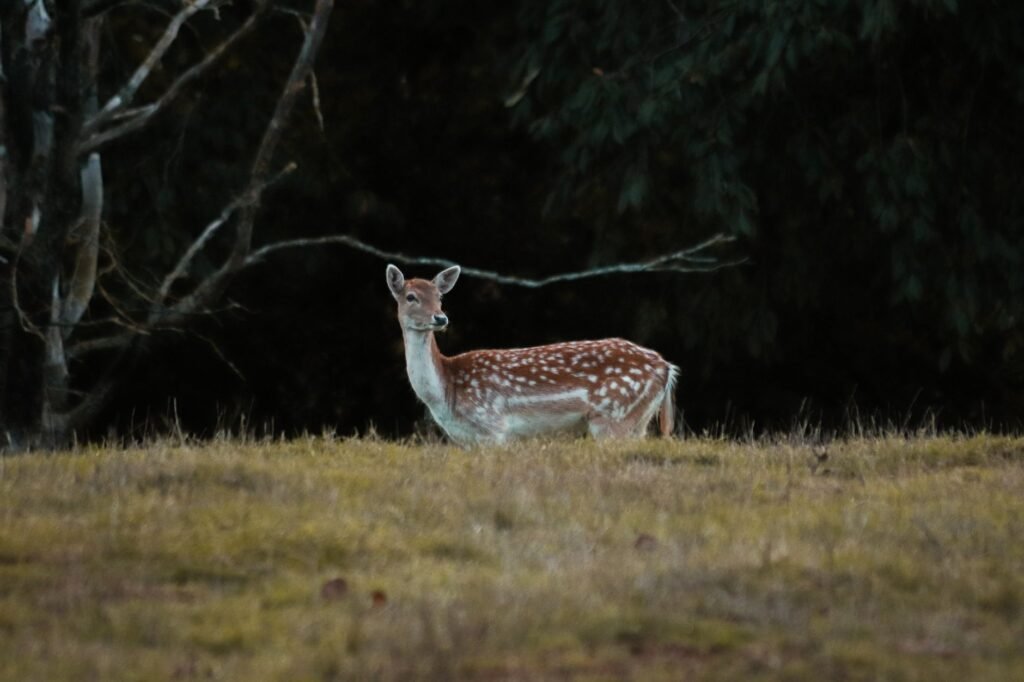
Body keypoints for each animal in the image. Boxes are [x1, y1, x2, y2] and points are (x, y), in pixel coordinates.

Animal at [386, 264, 680, 445]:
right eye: (411, 297)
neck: (446, 391)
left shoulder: (494, 426)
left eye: (440, 297)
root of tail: (666, 367)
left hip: (613, 415)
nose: (440, 318)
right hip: (637, 421)